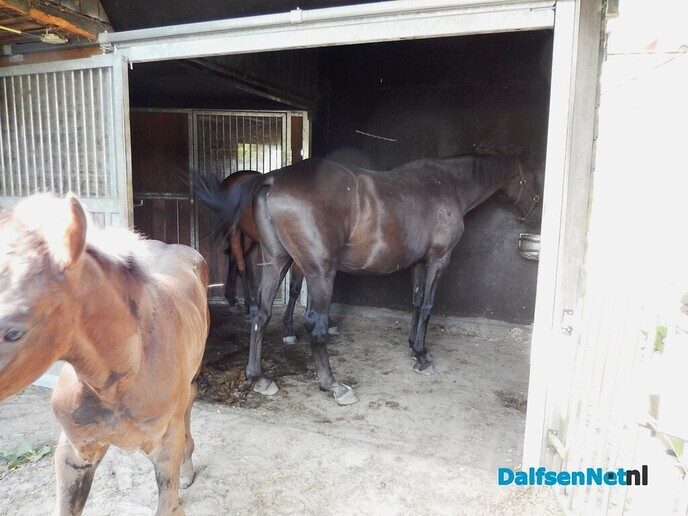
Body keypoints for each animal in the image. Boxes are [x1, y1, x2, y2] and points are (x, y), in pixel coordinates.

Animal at [218, 170, 336, 345]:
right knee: (241, 267)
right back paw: (247, 308)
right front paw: (288, 330)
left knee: (233, 261)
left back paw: (232, 300)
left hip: (248, 237)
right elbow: (295, 288)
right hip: (233, 230)